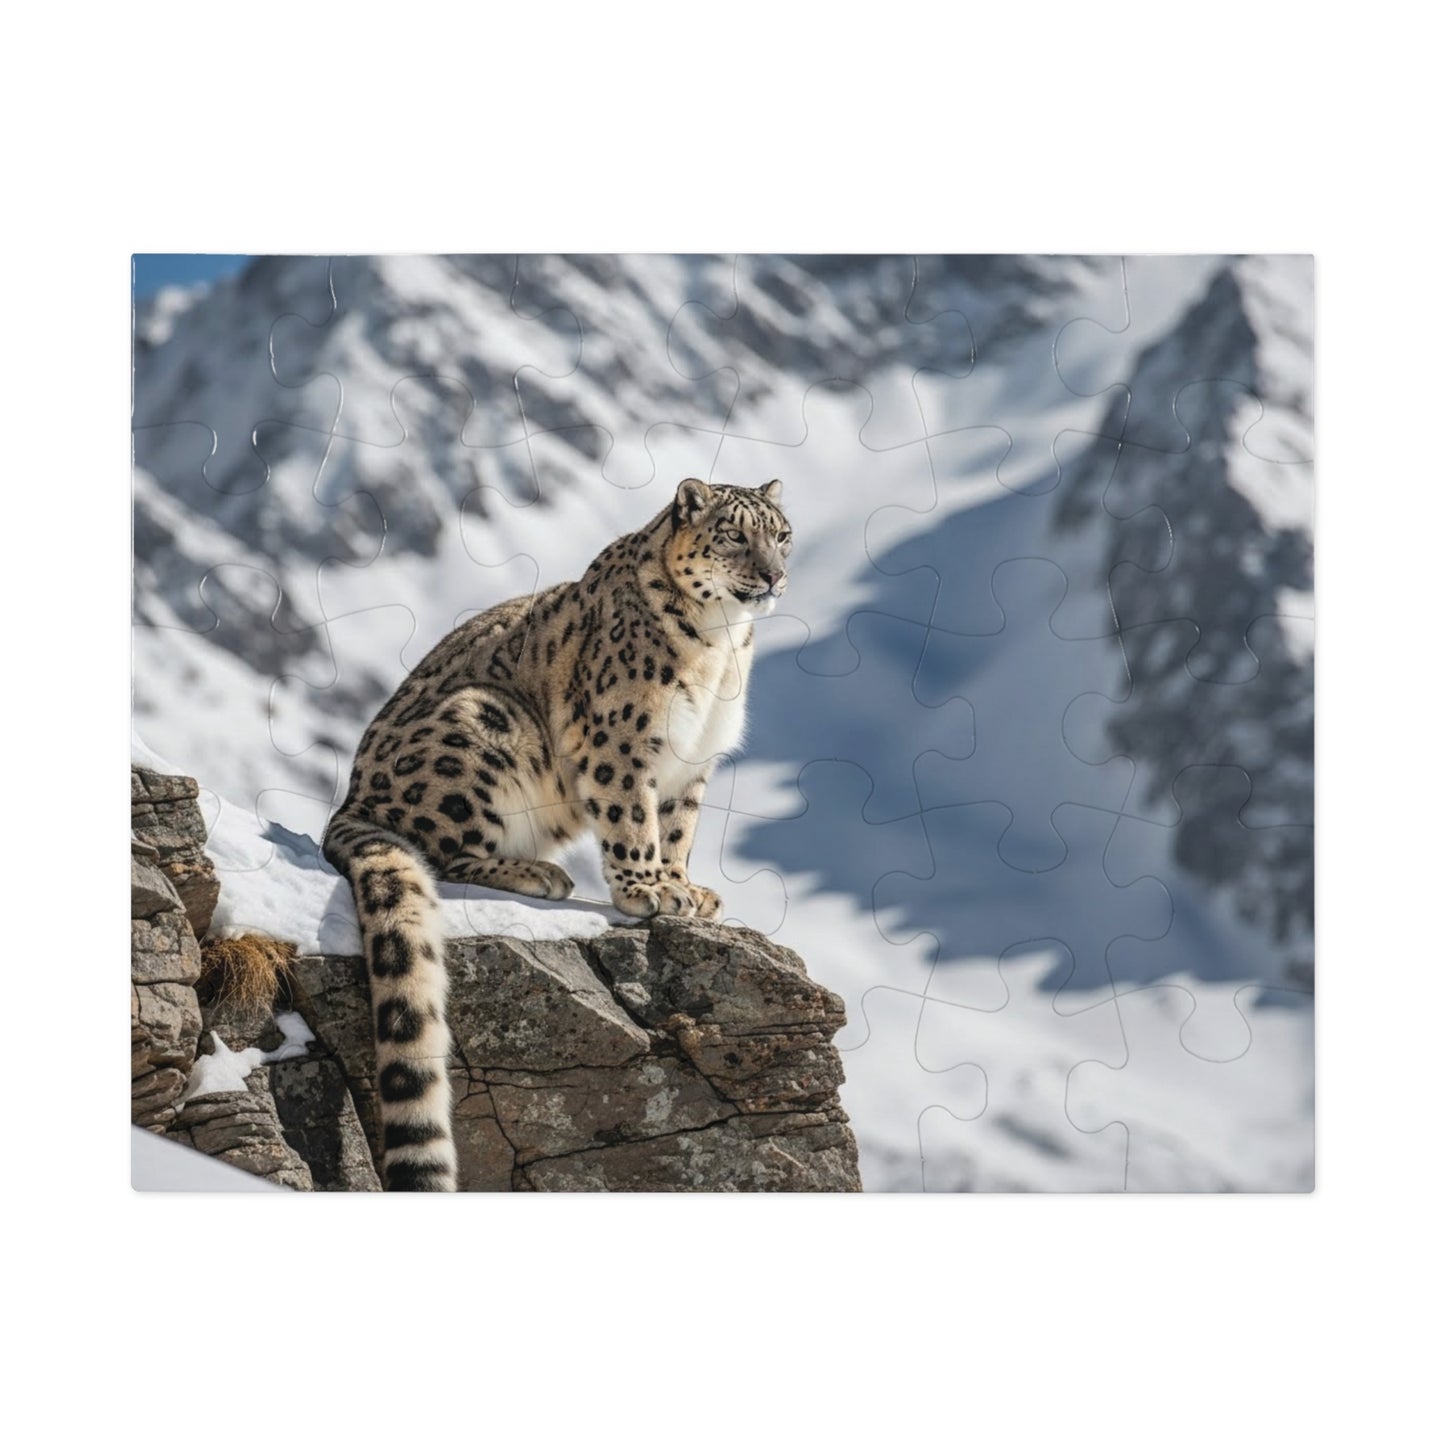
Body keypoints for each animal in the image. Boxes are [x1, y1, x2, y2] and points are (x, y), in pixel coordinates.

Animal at [321, 477, 792, 1190]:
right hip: (481, 726)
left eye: (781, 534)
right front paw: (647, 891)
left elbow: (677, 829)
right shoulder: (620, 741)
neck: (721, 647)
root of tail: (351, 800)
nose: (773, 575)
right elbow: (632, 815)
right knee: (440, 852)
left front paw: (686, 889)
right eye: (735, 534)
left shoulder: (692, 763)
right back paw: (536, 872)